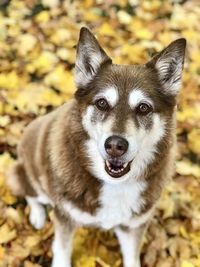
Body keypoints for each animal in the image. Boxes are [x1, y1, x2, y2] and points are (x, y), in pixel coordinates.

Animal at [7, 27, 186, 267]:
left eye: (143, 108)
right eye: (101, 103)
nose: (116, 145)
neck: (113, 184)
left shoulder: (133, 227)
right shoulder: (65, 218)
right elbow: (61, 251)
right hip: (25, 172)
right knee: (30, 193)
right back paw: (37, 215)